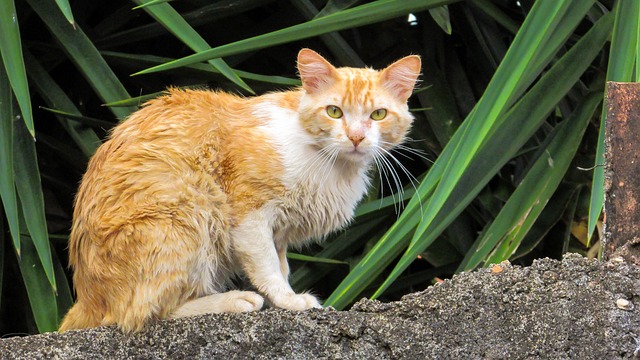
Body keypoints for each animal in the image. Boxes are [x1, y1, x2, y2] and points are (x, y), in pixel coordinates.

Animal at [58, 47, 420, 332]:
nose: (357, 137)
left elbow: (282, 265)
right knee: (140, 313)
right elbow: (268, 268)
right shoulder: (249, 216)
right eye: (334, 111)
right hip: (188, 216)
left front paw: (283, 297)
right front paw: (289, 300)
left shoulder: (280, 232)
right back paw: (233, 300)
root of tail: (86, 296)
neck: (329, 163)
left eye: (378, 114)